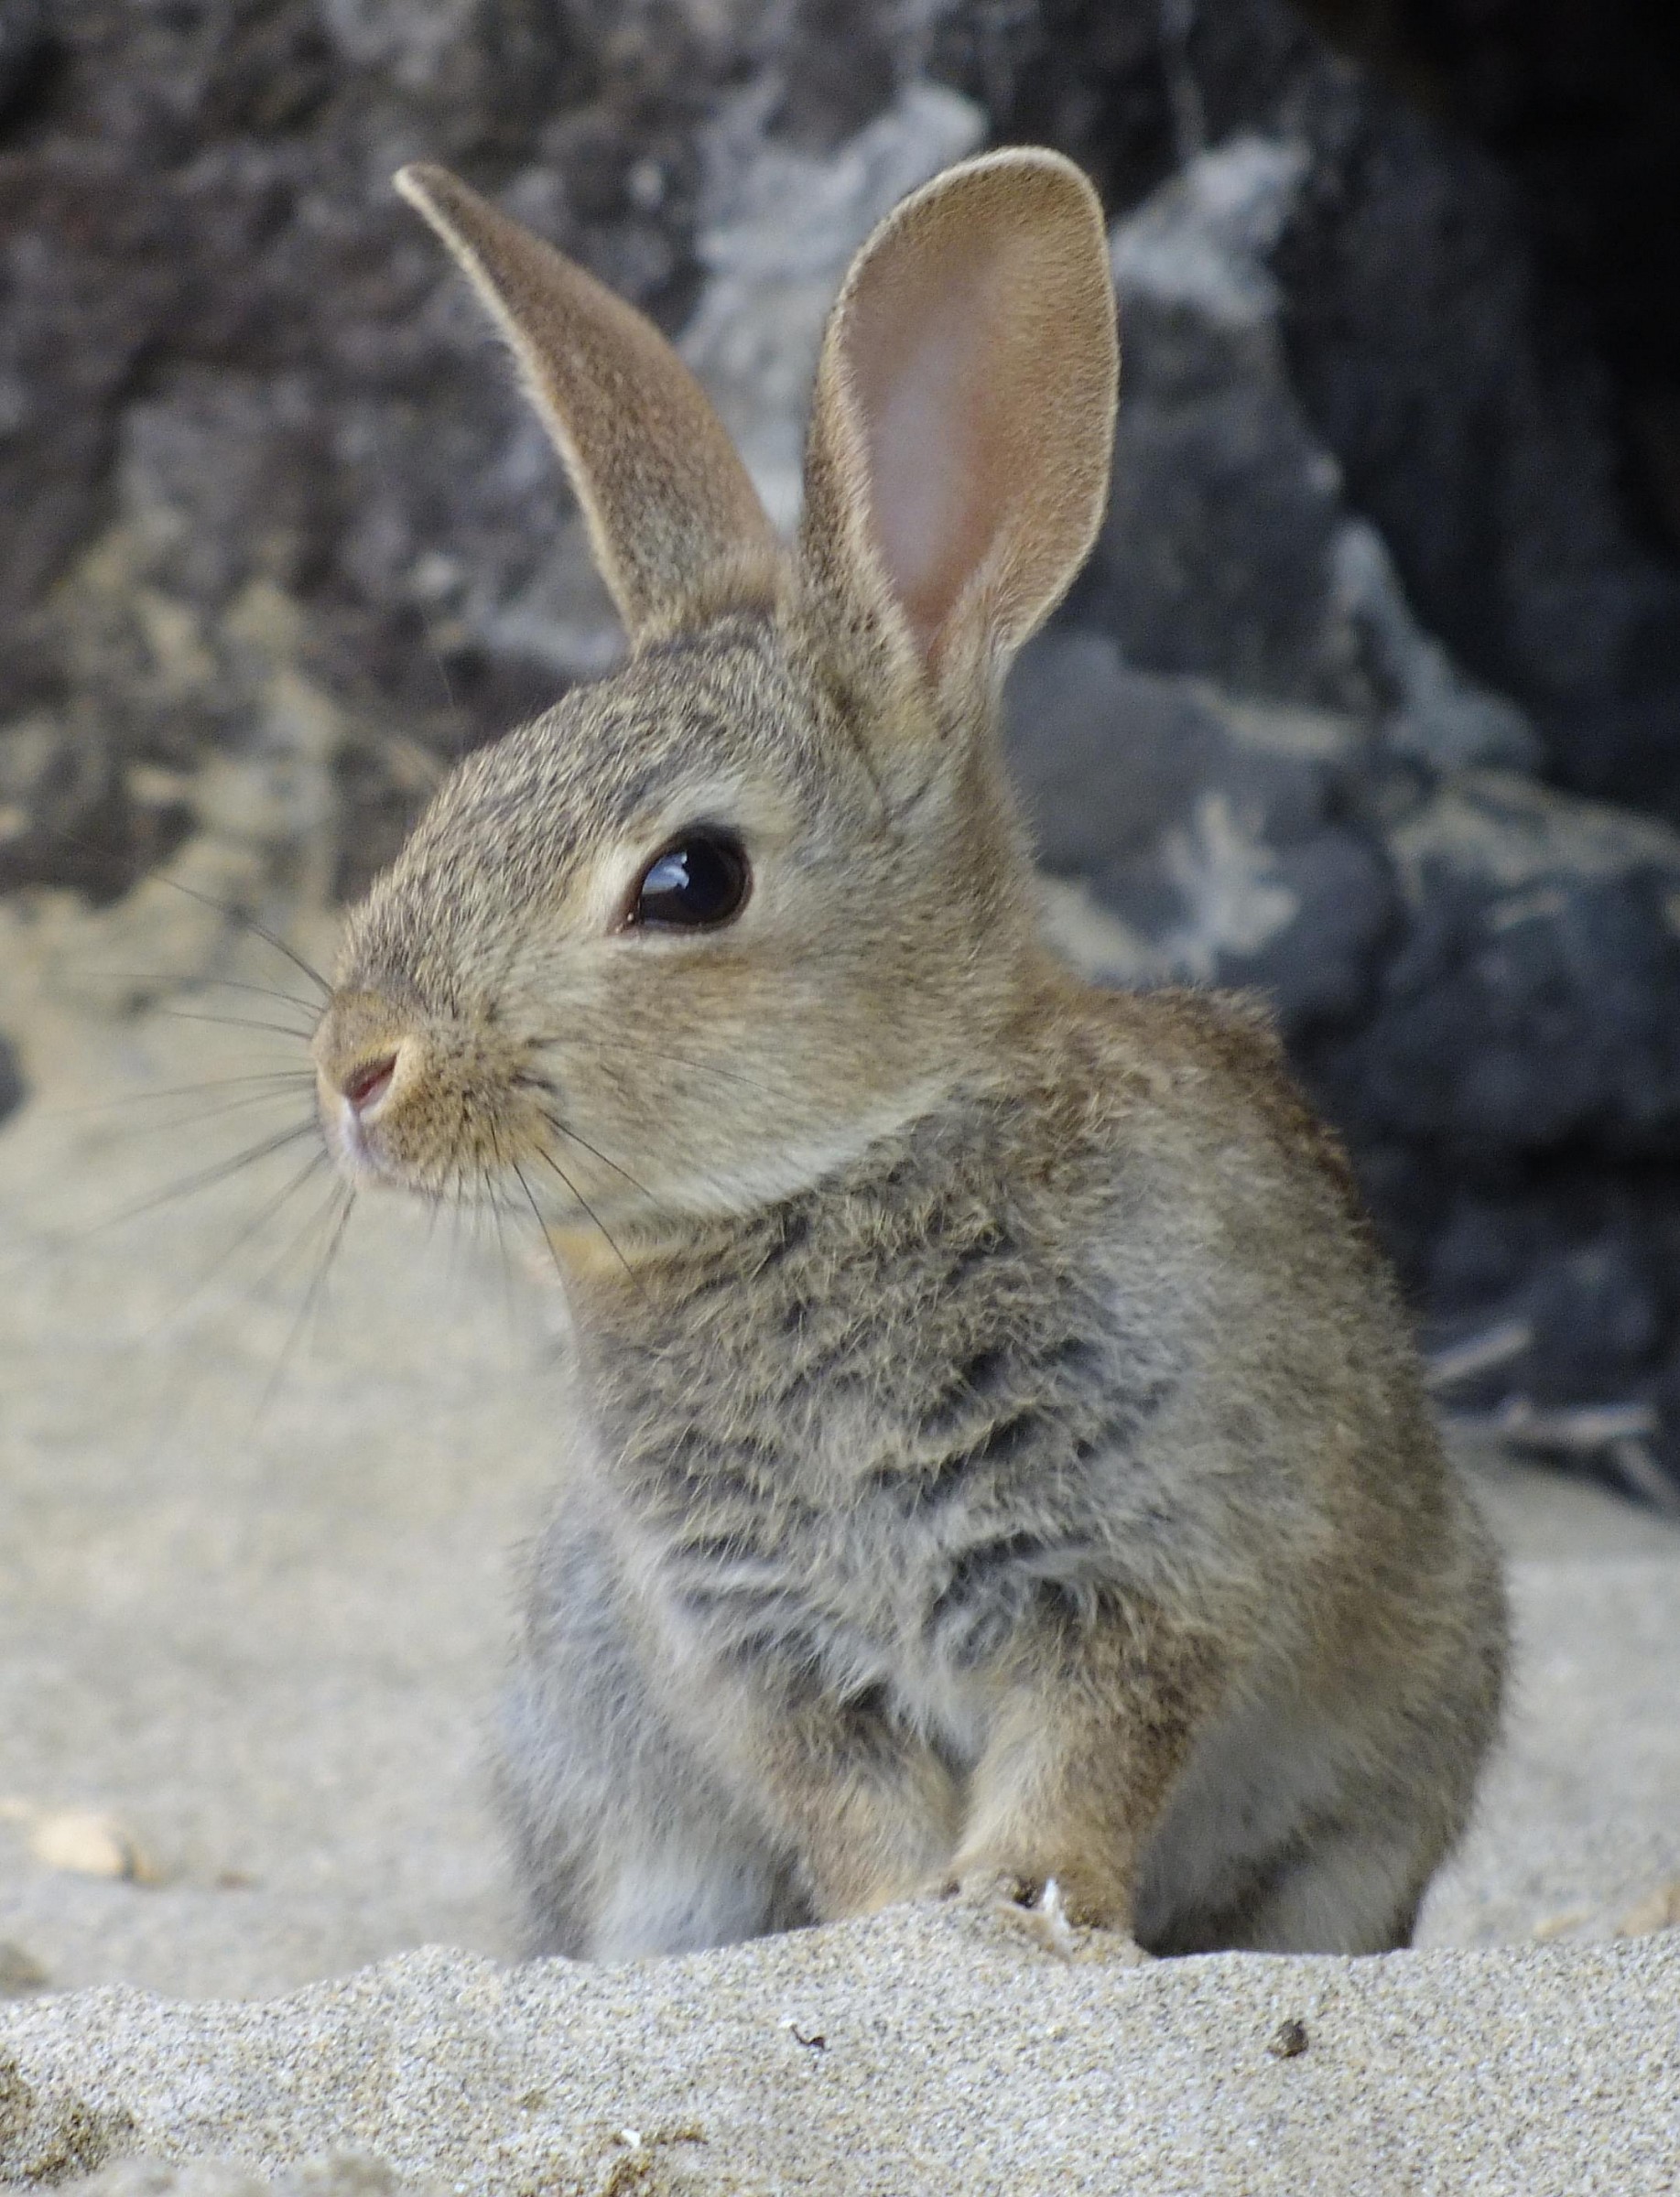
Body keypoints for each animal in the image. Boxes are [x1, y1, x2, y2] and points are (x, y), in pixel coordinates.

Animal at [310, 148, 1506, 1964]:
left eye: (689, 881)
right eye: (461, 790)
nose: (355, 1071)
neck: (855, 1151)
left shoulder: (1143, 1565)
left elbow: (1090, 1754)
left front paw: (1015, 1908)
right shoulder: (759, 1646)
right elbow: (848, 1807)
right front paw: (892, 1934)